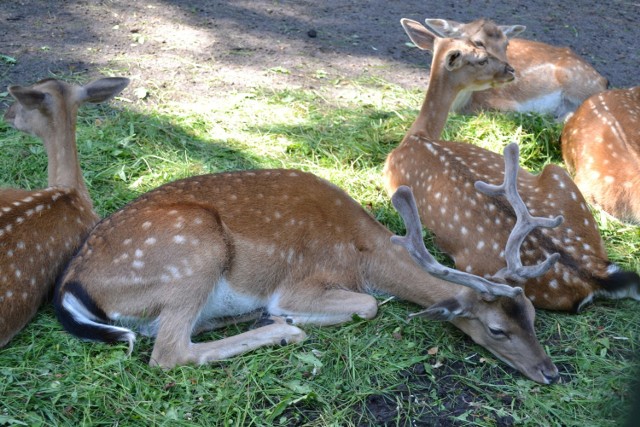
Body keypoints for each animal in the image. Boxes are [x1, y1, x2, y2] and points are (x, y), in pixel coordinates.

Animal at [55, 147, 560, 384]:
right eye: (497, 329)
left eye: (534, 315)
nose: (550, 372)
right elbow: (368, 306)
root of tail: (72, 286)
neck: (367, 255)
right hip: (193, 249)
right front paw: (289, 318)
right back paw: (281, 329)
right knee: (169, 353)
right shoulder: (301, 281)